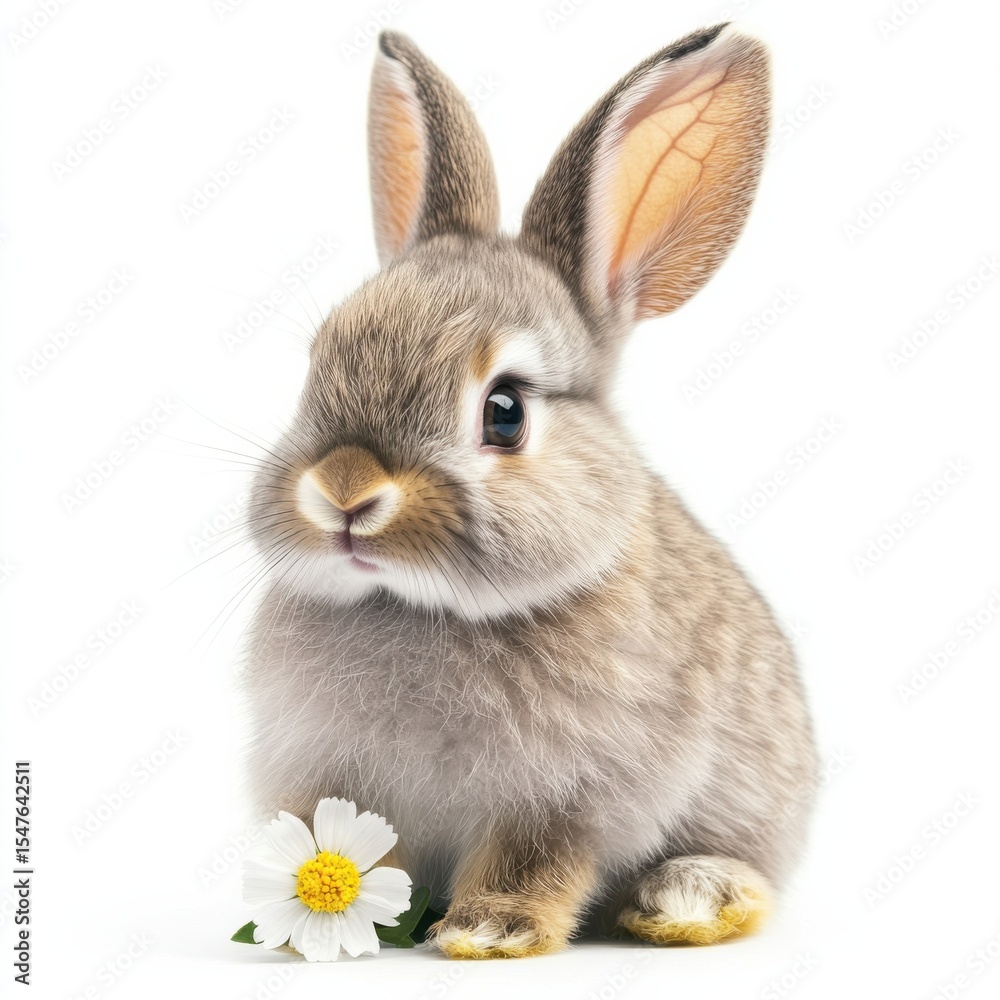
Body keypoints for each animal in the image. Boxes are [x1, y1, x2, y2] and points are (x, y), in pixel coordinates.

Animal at [240, 23, 817, 959]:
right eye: (315, 369)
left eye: (504, 412)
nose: (345, 492)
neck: (420, 608)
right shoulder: (328, 776)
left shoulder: (569, 795)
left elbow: (534, 860)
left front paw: (486, 932)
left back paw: (688, 898)